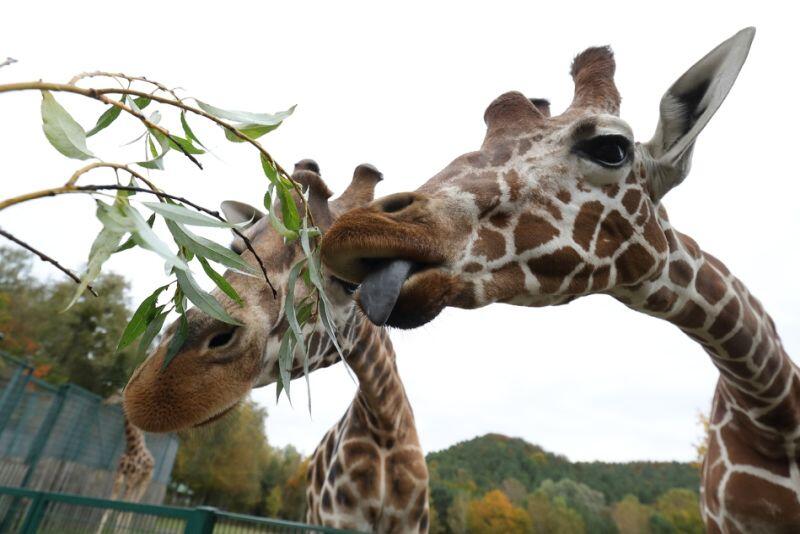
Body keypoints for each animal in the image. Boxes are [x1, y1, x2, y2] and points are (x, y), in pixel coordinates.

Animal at [96, 392, 155, 532]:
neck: (132, 447)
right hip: (136, 484)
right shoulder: (120, 475)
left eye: (117, 394)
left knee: (133, 506)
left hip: (144, 483)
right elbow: (110, 506)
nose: (105, 401)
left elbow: (122, 508)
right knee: (131, 505)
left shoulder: (131, 479)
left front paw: (119, 531)